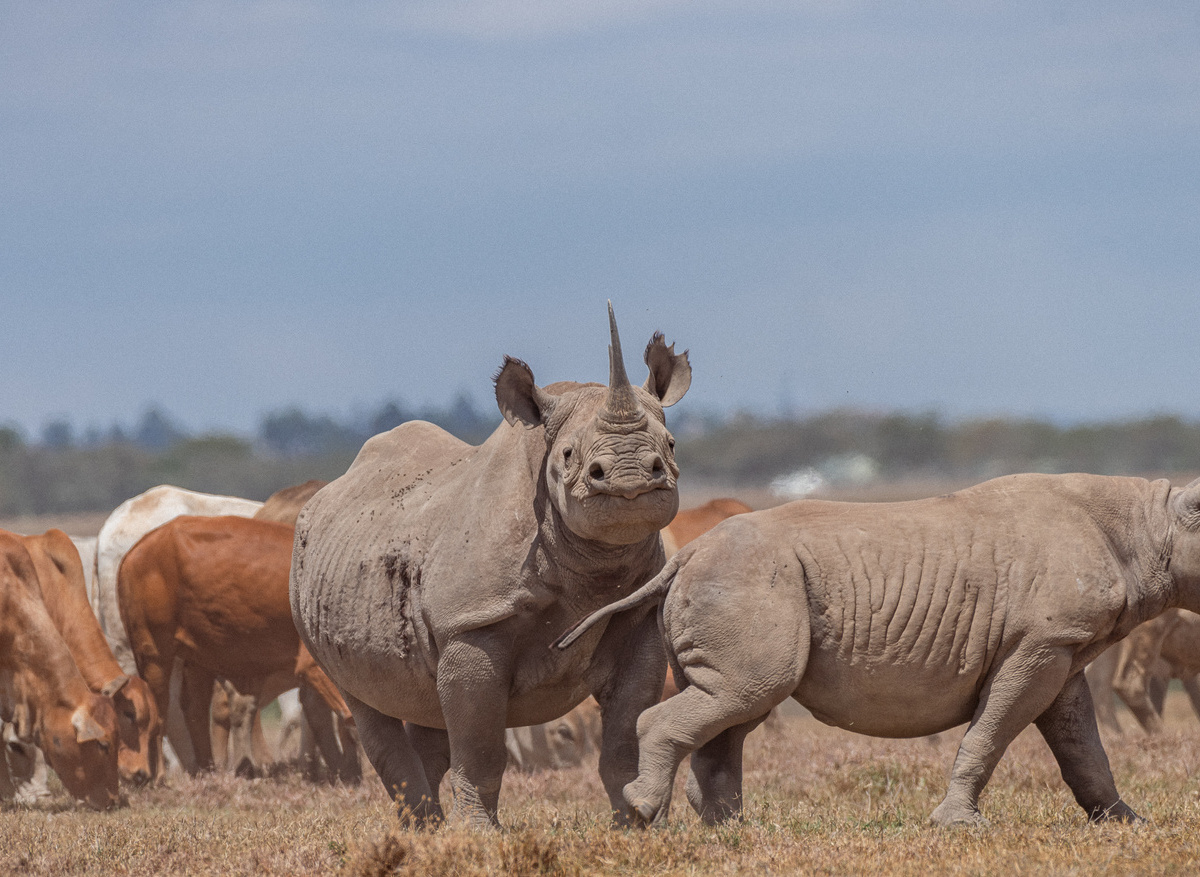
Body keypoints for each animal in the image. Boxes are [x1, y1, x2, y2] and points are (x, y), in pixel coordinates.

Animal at [290, 305, 690, 827]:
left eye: (671, 445)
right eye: (568, 455)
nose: (631, 479)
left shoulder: (637, 612)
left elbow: (626, 731)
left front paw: (641, 824)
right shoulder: (472, 622)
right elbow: (480, 744)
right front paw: (477, 834)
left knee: (426, 704)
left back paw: (429, 827)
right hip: (306, 587)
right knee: (366, 701)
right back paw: (424, 827)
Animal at [557, 473, 1200, 827]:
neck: (1151, 524)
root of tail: (684, 554)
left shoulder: (1060, 649)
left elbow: (1082, 746)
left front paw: (1126, 823)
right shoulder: (1041, 643)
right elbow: (991, 733)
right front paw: (958, 826)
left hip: (740, 582)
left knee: (736, 701)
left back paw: (731, 831)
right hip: (747, 578)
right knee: (746, 693)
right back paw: (646, 816)